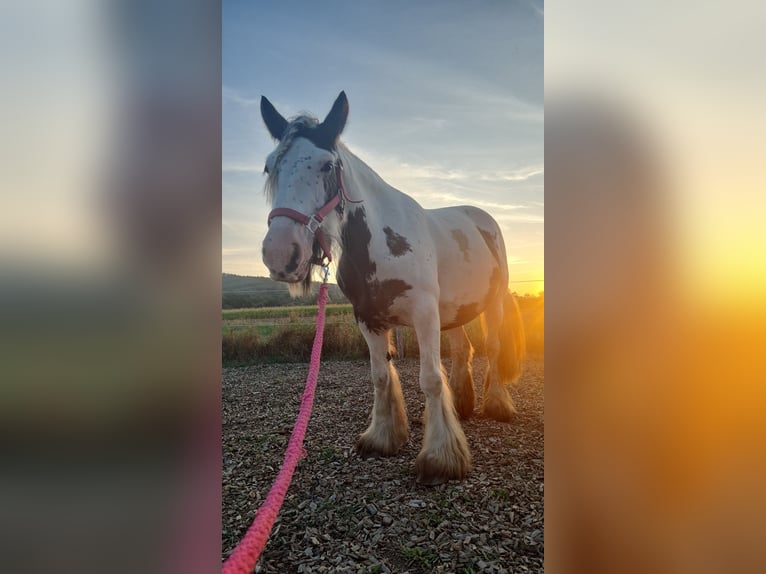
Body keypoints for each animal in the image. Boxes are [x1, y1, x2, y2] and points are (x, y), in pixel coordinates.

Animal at [259, 91, 526, 484]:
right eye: (270, 167)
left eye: (327, 166)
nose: (280, 253)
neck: (380, 244)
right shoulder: (368, 319)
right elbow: (381, 376)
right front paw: (383, 437)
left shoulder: (424, 314)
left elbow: (430, 379)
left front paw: (440, 458)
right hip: (455, 312)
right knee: (463, 350)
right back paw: (462, 405)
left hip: (492, 306)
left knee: (491, 349)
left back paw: (497, 405)